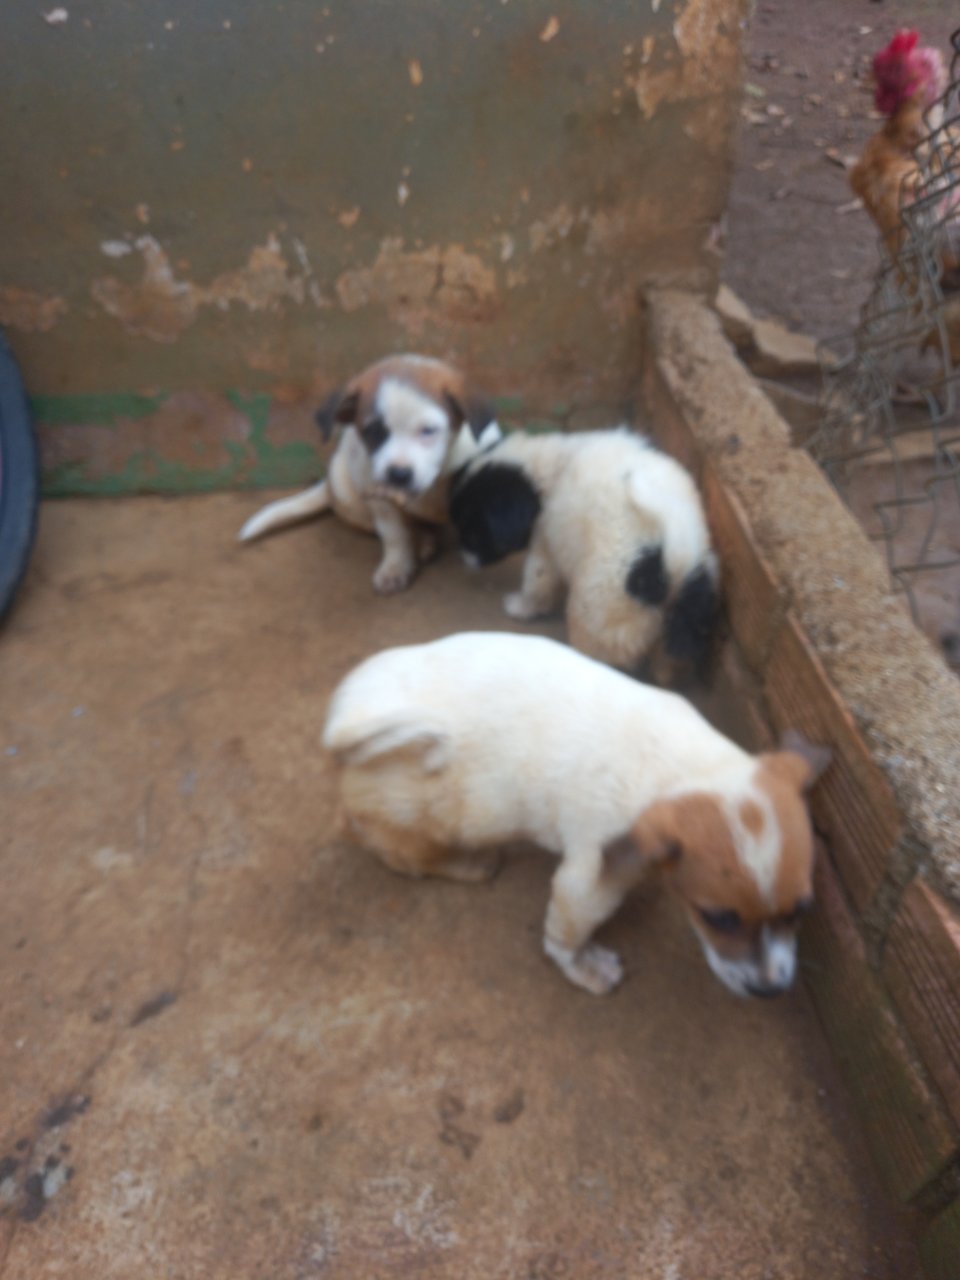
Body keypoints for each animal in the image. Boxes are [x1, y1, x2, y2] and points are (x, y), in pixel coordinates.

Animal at [238, 355, 501, 594]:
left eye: (428, 430)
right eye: (375, 431)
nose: (398, 474)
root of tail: (328, 484)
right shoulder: (378, 497)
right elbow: (395, 536)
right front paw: (396, 567)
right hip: (348, 494)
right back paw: (423, 542)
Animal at [323, 632, 830, 998]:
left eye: (801, 910)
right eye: (718, 919)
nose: (771, 991)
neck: (685, 766)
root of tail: (346, 726)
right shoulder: (588, 880)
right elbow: (564, 936)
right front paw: (585, 967)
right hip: (422, 818)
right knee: (390, 848)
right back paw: (466, 864)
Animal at [449, 428, 719, 678]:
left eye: (472, 534)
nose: (464, 560)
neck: (546, 465)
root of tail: (672, 564)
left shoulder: (545, 541)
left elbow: (538, 582)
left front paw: (520, 607)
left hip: (597, 611)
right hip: (687, 620)